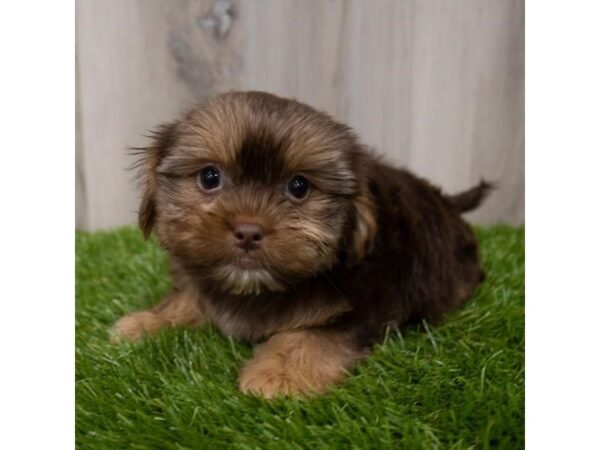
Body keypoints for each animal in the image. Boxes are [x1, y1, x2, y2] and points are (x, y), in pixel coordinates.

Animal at [113, 90, 492, 398]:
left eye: (299, 187)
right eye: (209, 177)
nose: (248, 230)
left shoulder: (367, 301)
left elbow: (313, 335)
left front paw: (279, 373)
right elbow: (190, 297)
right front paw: (146, 323)